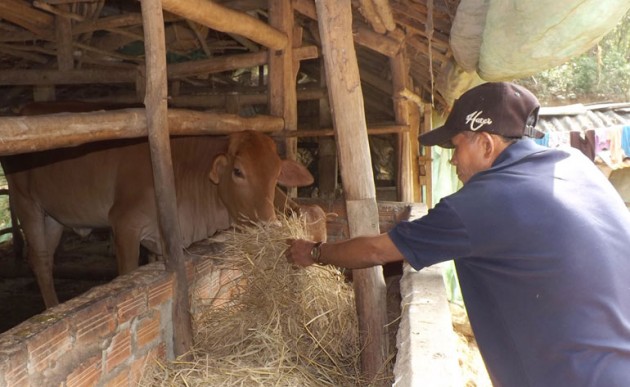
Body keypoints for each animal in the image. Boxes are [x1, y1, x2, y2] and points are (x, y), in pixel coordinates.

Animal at [1, 130, 314, 310]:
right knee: (40, 260)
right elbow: (127, 272)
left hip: (53, 218)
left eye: (276, 173)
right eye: (238, 171)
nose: (269, 224)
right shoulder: (124, 224)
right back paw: (51, 308)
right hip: (26, 204)